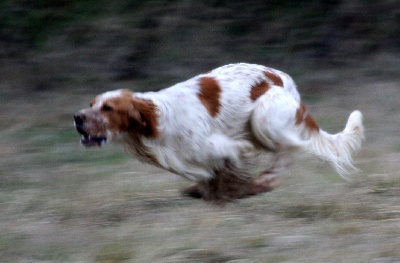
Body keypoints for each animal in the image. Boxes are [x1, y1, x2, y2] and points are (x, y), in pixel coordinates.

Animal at [73, 63, 364, 202]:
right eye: (91, 104)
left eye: (108, 108)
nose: (77, 117)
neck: (159, 120)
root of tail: (286, 81)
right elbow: (211, 178)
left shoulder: (234, 148)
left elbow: (229, 176)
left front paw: (235, 193)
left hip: (264, 118)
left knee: (289, 150)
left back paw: (263, 182)